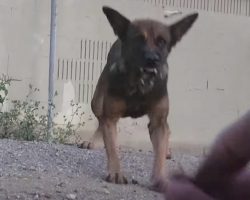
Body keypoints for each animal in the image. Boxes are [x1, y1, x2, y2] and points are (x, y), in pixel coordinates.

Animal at [81, 6, 198, 190]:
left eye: (162, 41)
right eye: (138, 39)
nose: (152, 60)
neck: (140, 84)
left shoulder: (158, 122)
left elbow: (159, 154)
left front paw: (160, 178)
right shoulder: (111, 117)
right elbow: (112, 148)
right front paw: (116, 172)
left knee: (167, 130)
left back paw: (167, 150)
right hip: (97, 102)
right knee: (100, 120)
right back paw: (92, 142)